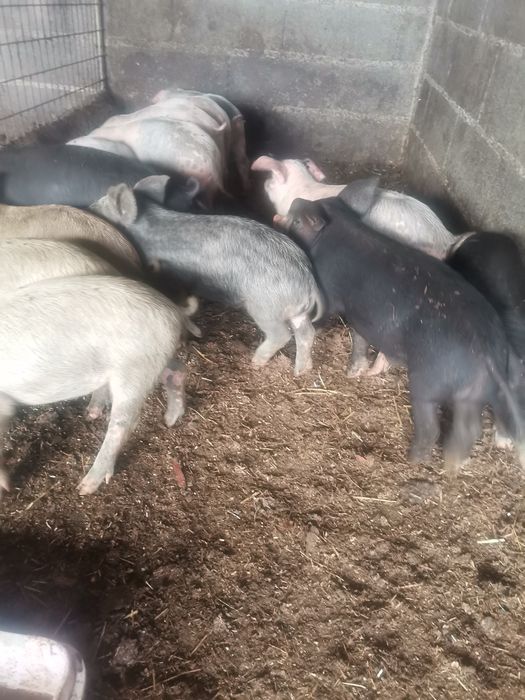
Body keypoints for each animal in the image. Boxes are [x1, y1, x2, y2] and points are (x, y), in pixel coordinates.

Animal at [0, 276, 200, 496]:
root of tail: (173, 309)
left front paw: (5, 488)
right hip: (153, 361)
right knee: (177, 371)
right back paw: (169, 421)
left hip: (133, 370)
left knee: (123, 423)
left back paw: (84, 488)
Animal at [90, 180, 324, 376]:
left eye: (101, 206)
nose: (89, 206)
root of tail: (308, 281)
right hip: (296, 312)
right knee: (307, 333)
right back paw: (302, 371)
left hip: (266, 307)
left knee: (282, 334)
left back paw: (256, 362)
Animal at [278, 197, 525, 473]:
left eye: (298, 220)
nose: (297, 200)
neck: (339, 227)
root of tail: (490, 353)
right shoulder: (363, 318)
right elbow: (360, 337)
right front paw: (356, 372)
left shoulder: (328, 289)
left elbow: (325, 315)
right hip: (473, 392)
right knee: (471, 426)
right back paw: (454, 463)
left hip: (427, 381)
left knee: (432, 426)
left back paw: (416, 459)